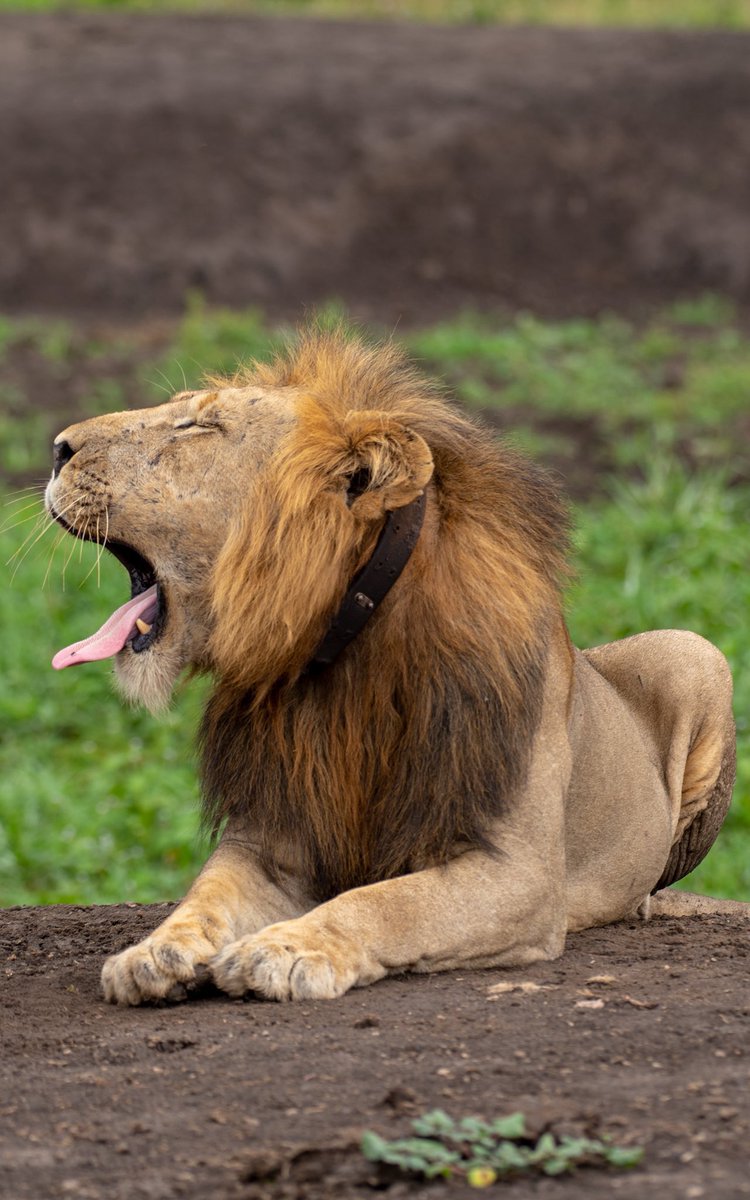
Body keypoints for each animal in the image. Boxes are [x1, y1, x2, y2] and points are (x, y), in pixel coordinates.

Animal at [44, 328, 746, 1006]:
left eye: (200, 426)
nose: (55, 447)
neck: (341, 650)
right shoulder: (270, 841)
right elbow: (205, 897)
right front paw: (153, 953)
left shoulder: (518, 871)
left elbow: (385, 903)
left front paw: (288, 948)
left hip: (696, 651)